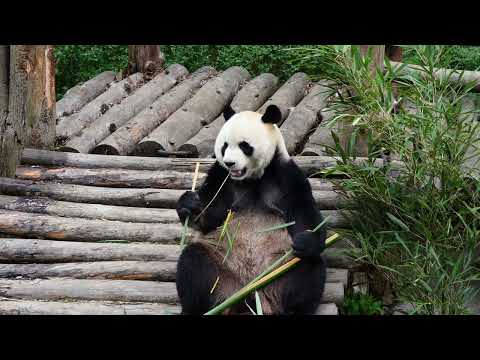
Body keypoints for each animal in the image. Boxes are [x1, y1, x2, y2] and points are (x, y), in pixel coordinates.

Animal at [174, 104, 328, 316]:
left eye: (244, 145)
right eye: (224, 146)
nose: (230, 163)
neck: (251, 178)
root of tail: (250, 296)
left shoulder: (287, 175)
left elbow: (302, 212)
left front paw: (306, 239)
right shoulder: (222, 176)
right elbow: (211, 214)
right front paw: (189, 204)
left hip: (281, 265)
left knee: (307, 268)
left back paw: (294, 309)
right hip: (220, 265)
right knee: (194, 263)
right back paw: (197, 309)